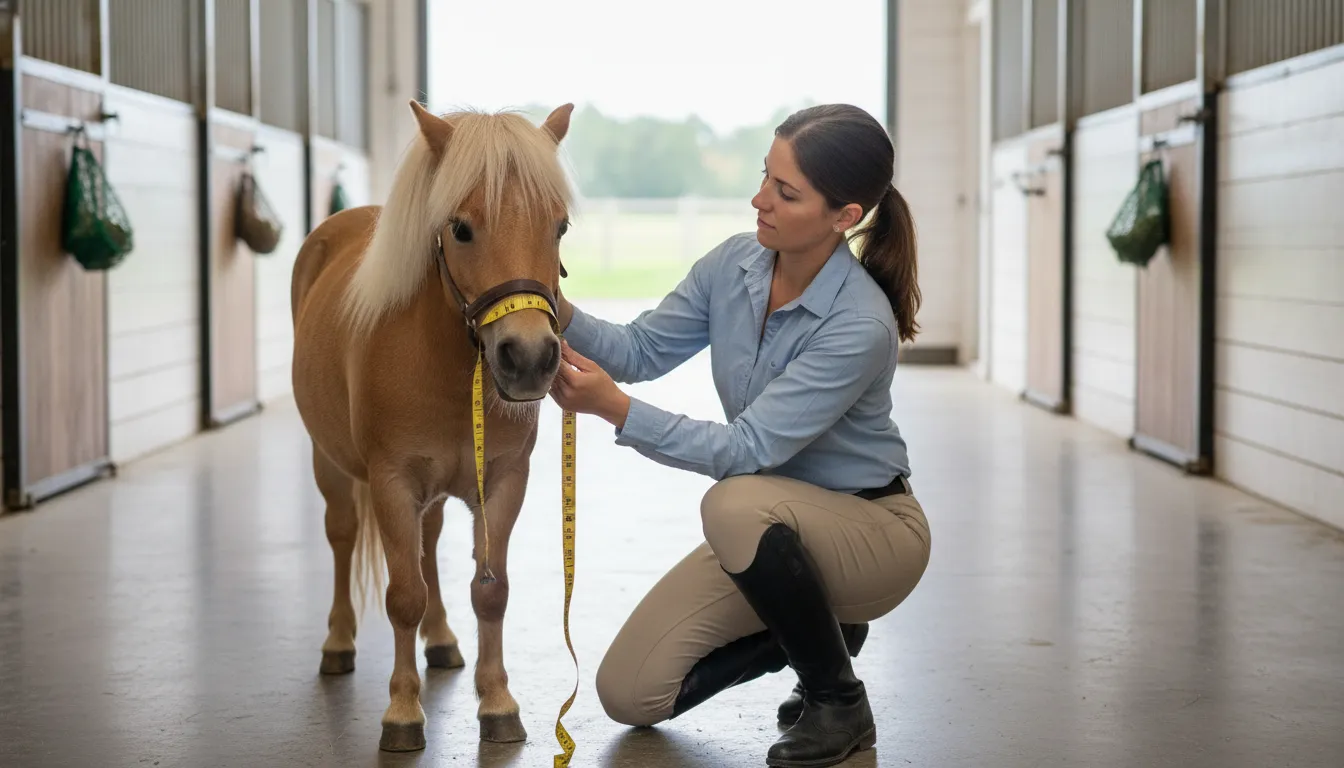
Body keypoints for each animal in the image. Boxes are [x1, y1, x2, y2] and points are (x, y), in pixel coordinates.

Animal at [289, 99, 575, 752]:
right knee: (343, 536)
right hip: (329, 464)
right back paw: (337, 642)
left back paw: (442, 640)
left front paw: (497, 702)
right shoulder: (392, 482)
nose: (528, 358)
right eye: (461, 228)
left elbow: (490, 590)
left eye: (560, 227)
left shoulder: (503, 481)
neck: (446, 365)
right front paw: (401, 711)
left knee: (429, 541)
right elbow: (402, 596)